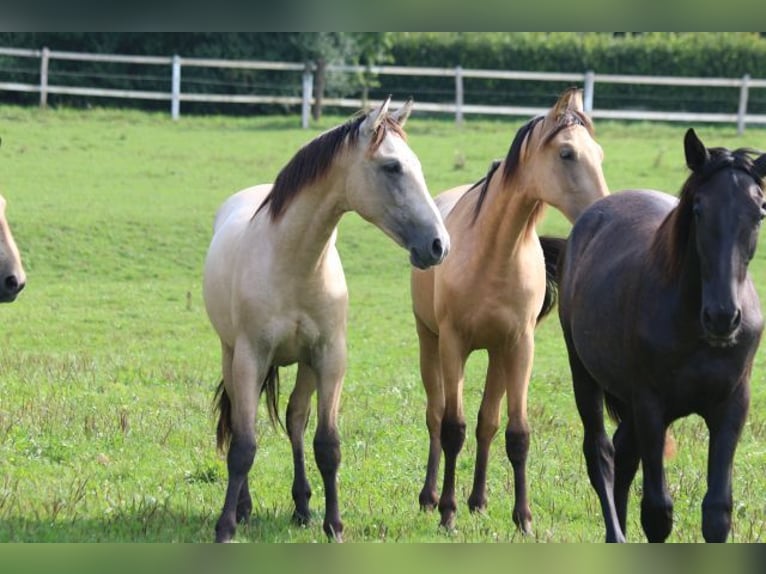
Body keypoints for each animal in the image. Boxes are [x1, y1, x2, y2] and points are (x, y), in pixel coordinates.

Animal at [207, 99, 452, 544]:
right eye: (392, 167)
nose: (439, 245)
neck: (293, 264)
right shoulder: (251, 358)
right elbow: (244, 447)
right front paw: (226, 526)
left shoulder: (330, 358)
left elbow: (327, 445)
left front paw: (333, 524)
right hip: (230, 354)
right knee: (240, 423)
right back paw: (246, 507)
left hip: (305, 365)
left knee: (295, 420)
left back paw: (302, 506)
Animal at [412, 88, 608, 532]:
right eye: (567, 154)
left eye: (599, 153)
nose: (605, 209)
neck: (494, 254)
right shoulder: (453, 344)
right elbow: (452, 428)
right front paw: (447, 513)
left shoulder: (520, 346)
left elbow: (515, 433)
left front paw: (523, 518)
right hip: (429, 342)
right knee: (435, 416)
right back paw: (430, 497)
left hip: (498, 354)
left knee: (487, 422)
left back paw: (479, 500)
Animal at [548, 129, 764, 544]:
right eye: (698, 209)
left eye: (759, 213)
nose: (722, 317)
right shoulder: (650, 404)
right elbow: (657, 513)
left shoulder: (732, 405)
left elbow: (717, 512)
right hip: (585, 375)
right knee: (601, 454)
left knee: (623, 452)